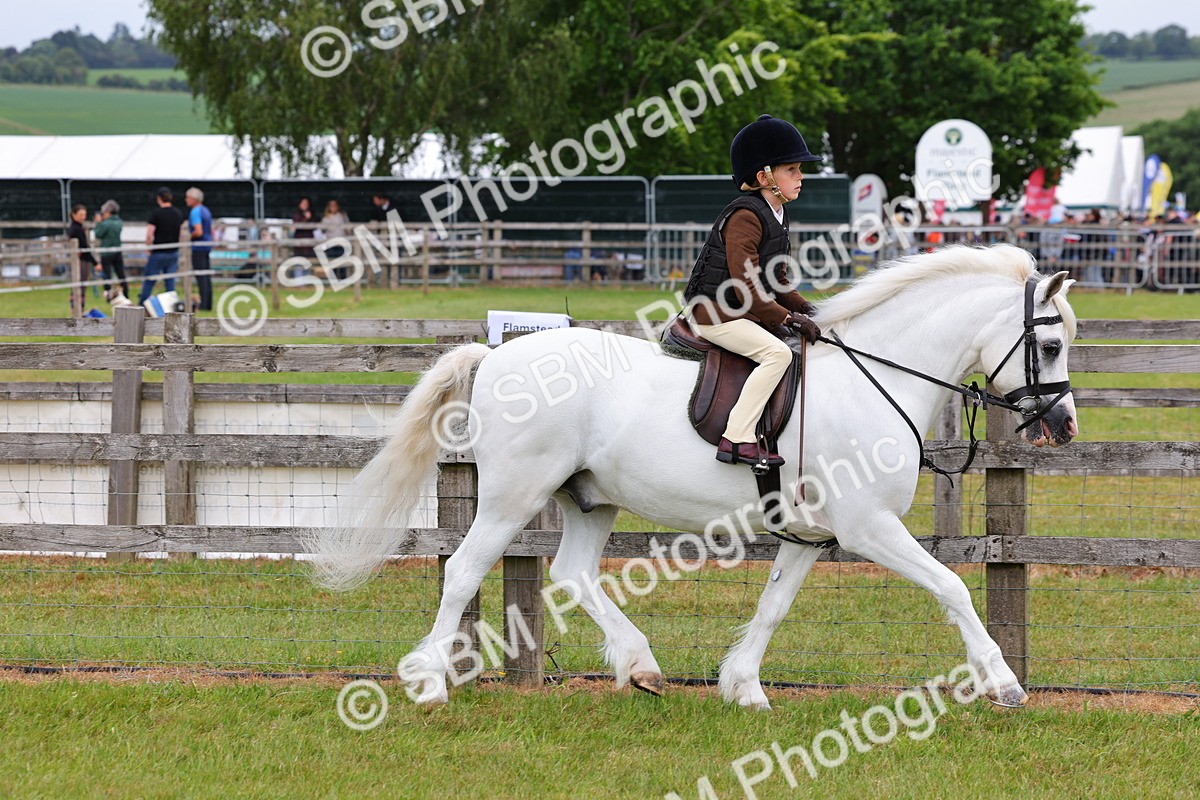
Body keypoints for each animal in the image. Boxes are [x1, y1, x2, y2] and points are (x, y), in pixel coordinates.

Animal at [306, 243, 1079, 709]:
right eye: (1048, 344)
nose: (1065, 425)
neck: (875, 378)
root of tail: (497, 356)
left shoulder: (809, 536)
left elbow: (773, 606)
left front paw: (745, 687)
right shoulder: (870, 528)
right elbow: (952, 586)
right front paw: (1003, 682)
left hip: (590, 500)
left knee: (574, 574)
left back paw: (641, 666)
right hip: (511, 495)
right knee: (463, 569)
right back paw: (431, 683)